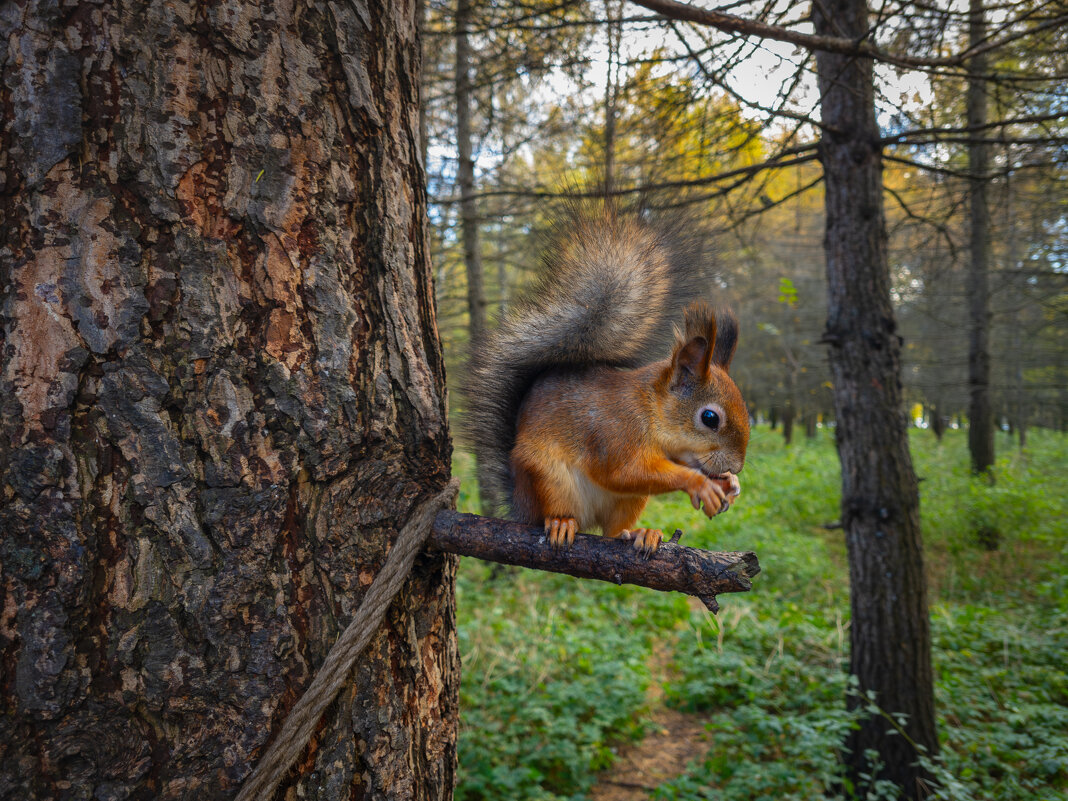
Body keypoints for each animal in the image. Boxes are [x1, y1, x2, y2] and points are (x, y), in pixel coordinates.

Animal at [467, 207, 751, 555]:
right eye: (710, 418)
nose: (736, 466)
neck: (648, 410)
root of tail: (520, 503)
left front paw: (729, 484)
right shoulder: (614, 435)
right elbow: (624, 472)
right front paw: (700, 484)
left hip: (627, 502)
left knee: (613, 531)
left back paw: (641, 533)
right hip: (546, 478)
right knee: (556, 511)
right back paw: (561, 523)